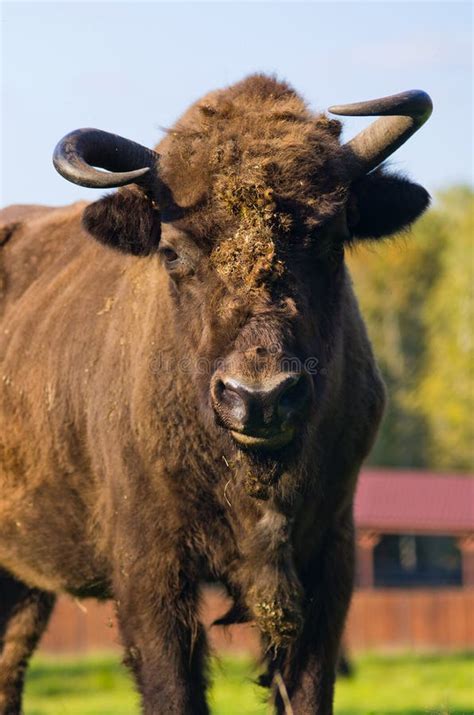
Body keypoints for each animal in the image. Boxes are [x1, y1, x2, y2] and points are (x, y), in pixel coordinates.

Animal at [0, 75, 432, 714]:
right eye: (172, 251)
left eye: (332, 241)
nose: (259, 396)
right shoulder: (151, 573)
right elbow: (174, 691)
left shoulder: (327, 558)